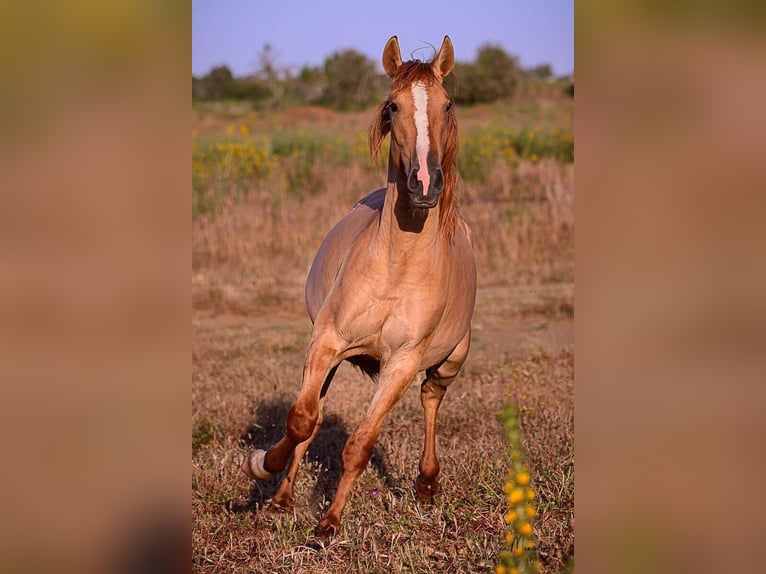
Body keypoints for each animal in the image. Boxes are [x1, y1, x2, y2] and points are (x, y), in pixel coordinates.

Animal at [243, 35, 476, 540]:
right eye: (392, 105)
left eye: (447, 105)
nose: (425, 184)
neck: (396, 267)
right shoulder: (326, 341)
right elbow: (301, 421)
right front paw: (262, 466)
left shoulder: (401, 364)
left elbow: (361, 445)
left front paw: (328, 523)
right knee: (312, 420)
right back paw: (282, 498)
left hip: (450, 361)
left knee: (431, 398)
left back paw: (427, 484)